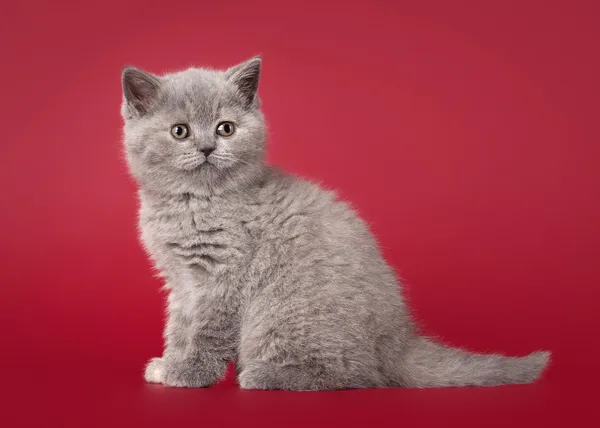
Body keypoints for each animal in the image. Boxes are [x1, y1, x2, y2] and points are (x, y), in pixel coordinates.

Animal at [120, 56, 548, 392]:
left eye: (226, 128)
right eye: (180, 131)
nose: (208, 147)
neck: (193, 202)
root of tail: (399, 341)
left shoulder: (224, 276)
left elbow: (208, 331)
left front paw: (190, 373)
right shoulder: (181, 280)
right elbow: (180, 326)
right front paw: (170, 363)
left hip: (282, 314)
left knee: (359, 375)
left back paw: (264, 375)